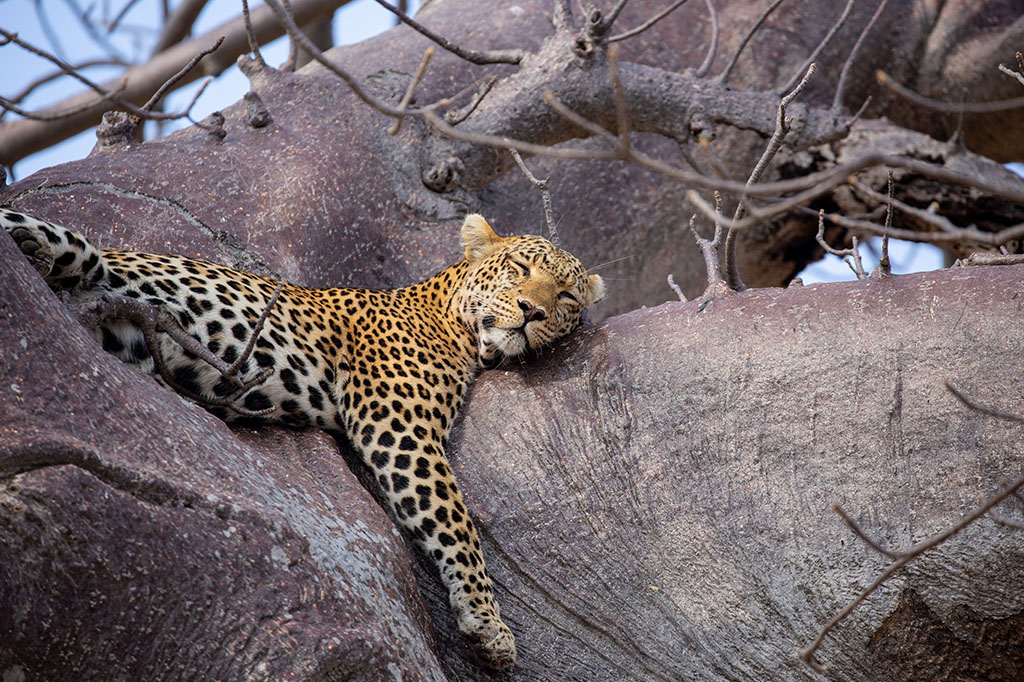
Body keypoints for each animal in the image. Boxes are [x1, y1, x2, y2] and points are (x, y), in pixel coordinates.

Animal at [0, 205, 602, 663]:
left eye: (566, 298)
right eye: (519, 268)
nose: (532, 310)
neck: (452, 323)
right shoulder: (398, 426)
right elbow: (455, 520)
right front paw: (487, 621)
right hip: (83, 248)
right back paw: (35, 252)